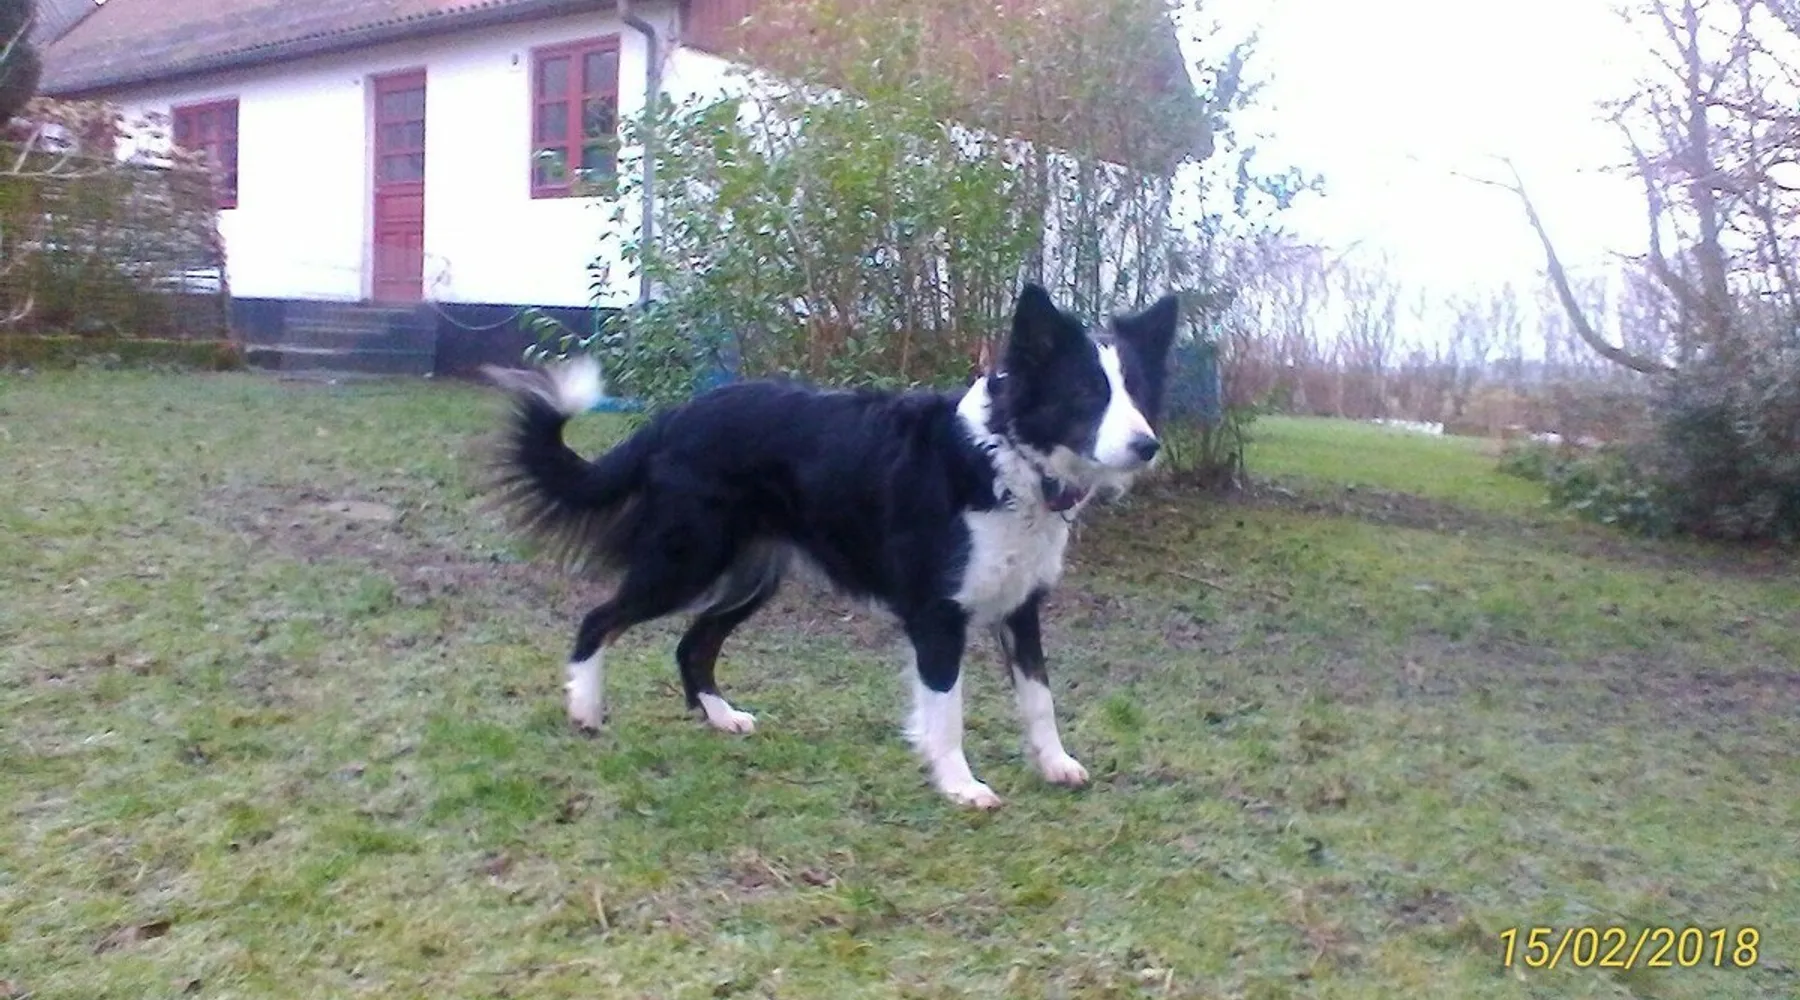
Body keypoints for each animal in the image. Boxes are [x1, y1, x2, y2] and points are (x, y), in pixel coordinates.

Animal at [483, 283, 1178, 808]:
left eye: (1138, 392)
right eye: (1086, 394)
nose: (1147, 445)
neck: (1003, 457)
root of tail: (674, 417)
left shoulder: (1021, 604)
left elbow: (1039, 698)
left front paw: (1055, 764)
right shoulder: (937, 615)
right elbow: (947, 709)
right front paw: (959, 785)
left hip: (753, 576)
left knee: (692, 643)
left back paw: (722, 717)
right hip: (686, 560)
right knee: (599, 618)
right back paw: (585, 709)